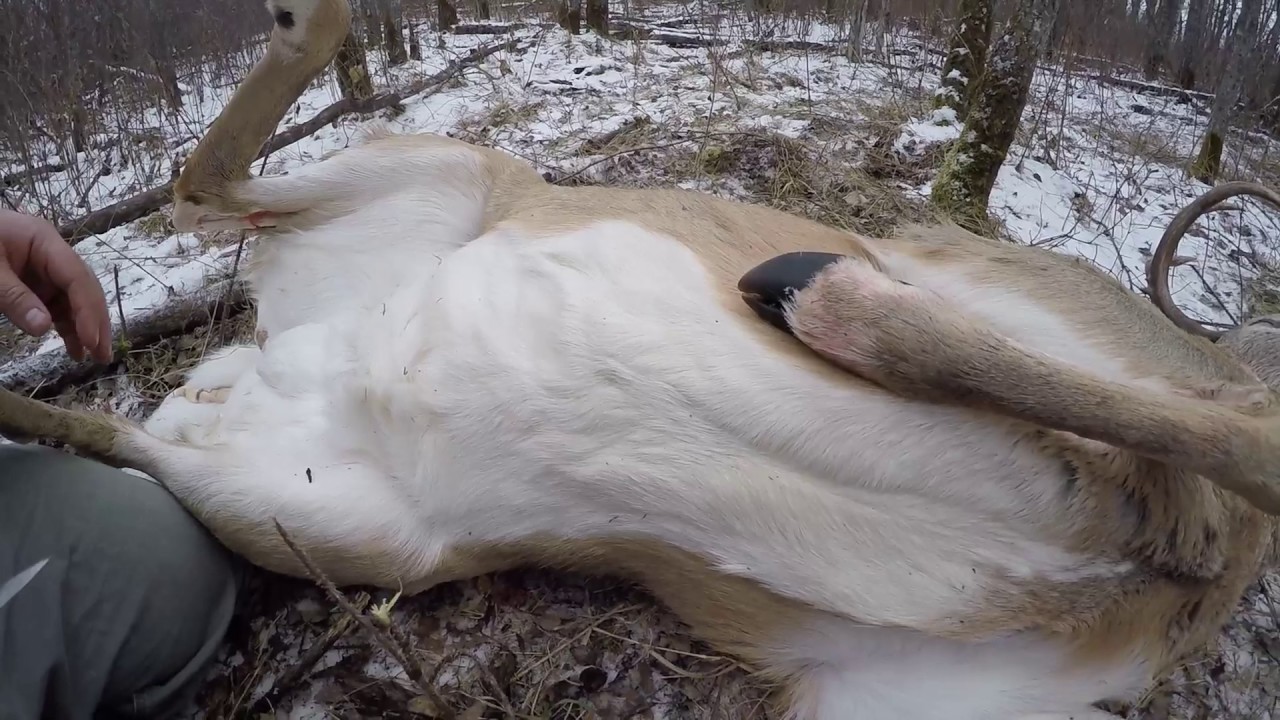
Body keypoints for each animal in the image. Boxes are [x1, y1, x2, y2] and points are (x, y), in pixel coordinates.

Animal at [2, 2, 1280, 712]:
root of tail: (285, 344)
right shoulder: (1007, 291)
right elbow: (1220, 433)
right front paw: (814, 289)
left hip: (344, 526)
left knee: (146, 362)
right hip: (456, 174)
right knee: (202, 188)